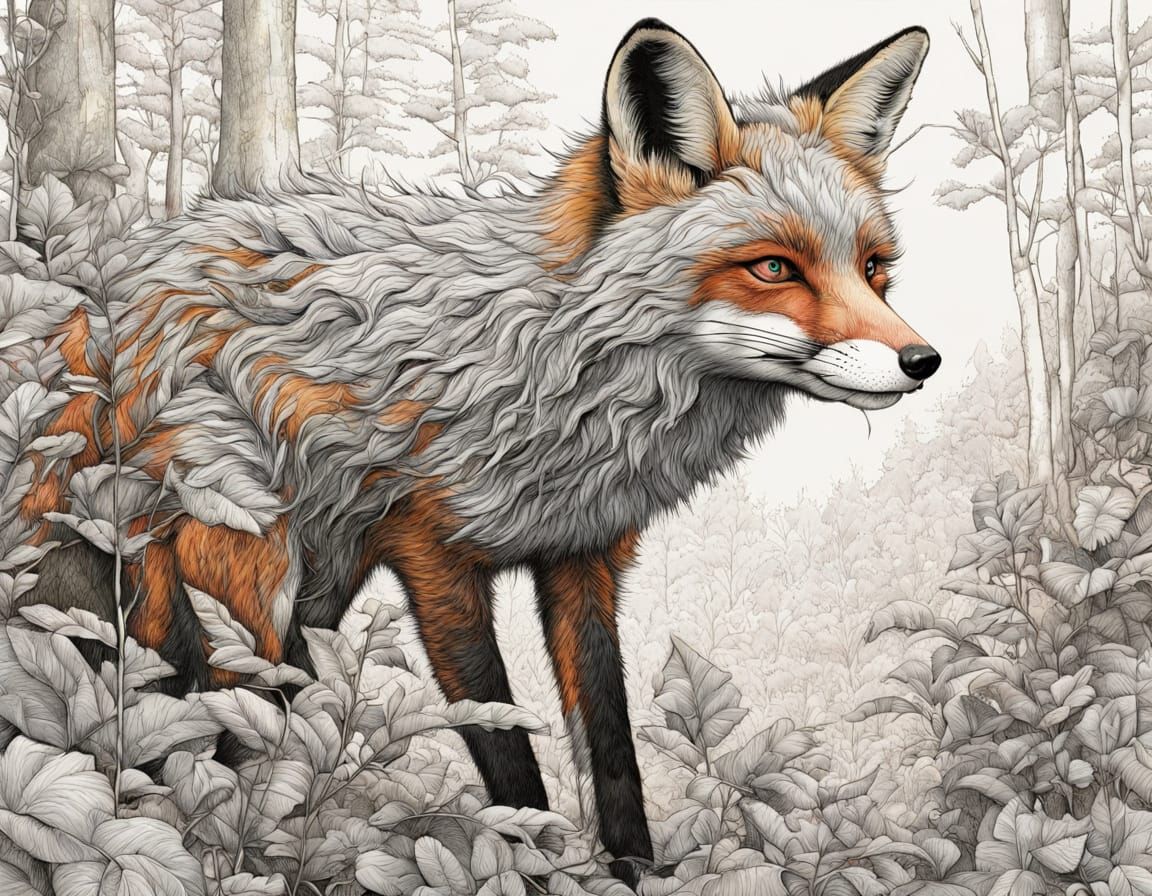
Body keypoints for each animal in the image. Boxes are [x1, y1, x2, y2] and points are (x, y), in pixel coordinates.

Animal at [20, 18, 935, 887]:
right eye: (774, 267)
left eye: (873, 269)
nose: (921, 360)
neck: (554, 364)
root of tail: (95, 303)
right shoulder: (433, 555)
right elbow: (508, 756)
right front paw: (540, 868)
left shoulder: (583, 557)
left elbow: (609, 747)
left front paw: (632, 873)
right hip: (249, 574)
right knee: (207, 731)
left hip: (315, 588)